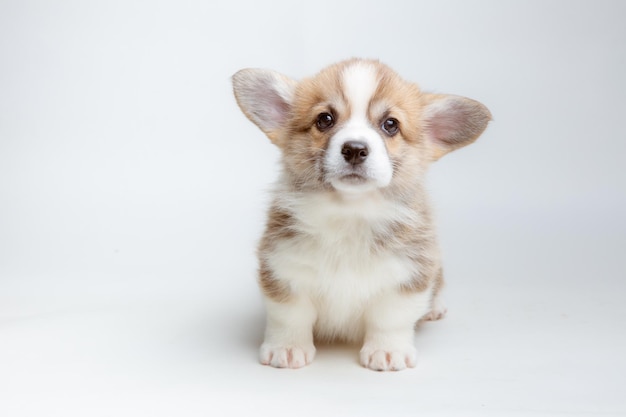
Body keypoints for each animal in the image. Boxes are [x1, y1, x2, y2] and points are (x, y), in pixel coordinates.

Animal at [232, 57, 490, 370]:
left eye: (390, 124)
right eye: (325, 119)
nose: (354, 149)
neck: (350, 212)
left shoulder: (406, 274)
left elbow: (390, 318)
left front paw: (387, 352)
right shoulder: (284, 267)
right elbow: (289, 316)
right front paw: (287, 348)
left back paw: (435, 308)